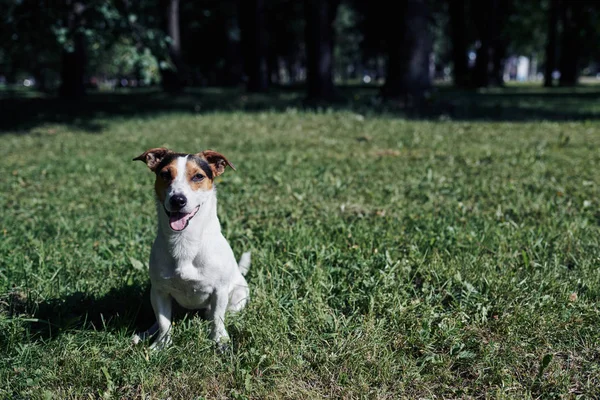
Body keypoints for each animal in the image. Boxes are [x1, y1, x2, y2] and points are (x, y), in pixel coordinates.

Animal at [131, 148, 251, 350]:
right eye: (165, 174)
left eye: (198, 176)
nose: (178, 200)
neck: (184, 240)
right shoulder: (159, 291)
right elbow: (164, 322)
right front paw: (161, 345)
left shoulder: (219, 291)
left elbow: (217, 318)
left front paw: (220, 340)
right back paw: (144, 334)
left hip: (238, 295)